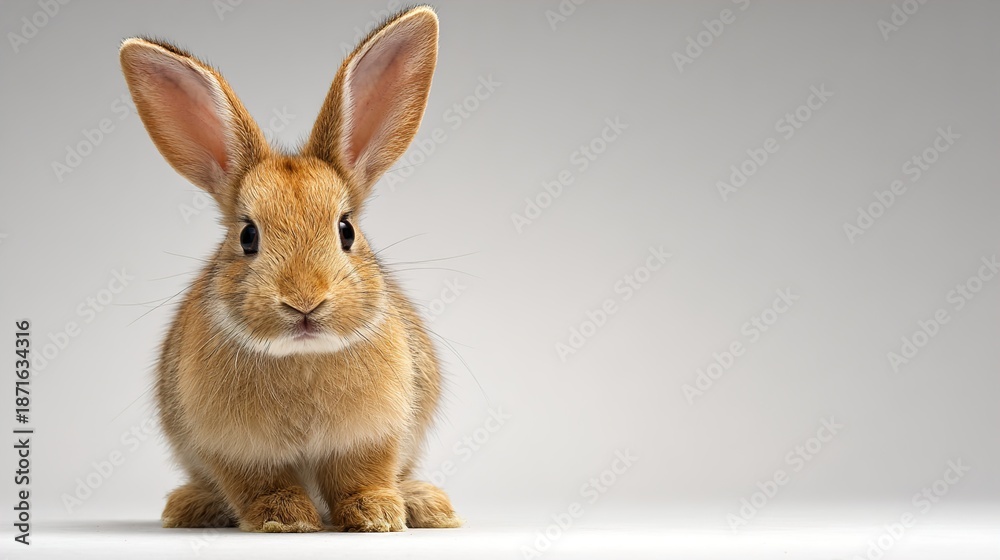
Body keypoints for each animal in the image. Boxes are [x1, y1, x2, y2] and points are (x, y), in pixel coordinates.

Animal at [119, 6, 461, 533]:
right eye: (247, 236)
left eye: (346, 230)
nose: (304, 301)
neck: (301, 355)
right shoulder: (234, 450)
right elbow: (260, 483)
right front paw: (285, 519)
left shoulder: (372, 437)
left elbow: (364, 475)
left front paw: (376, 515)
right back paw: (189, 506)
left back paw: (426, 504)